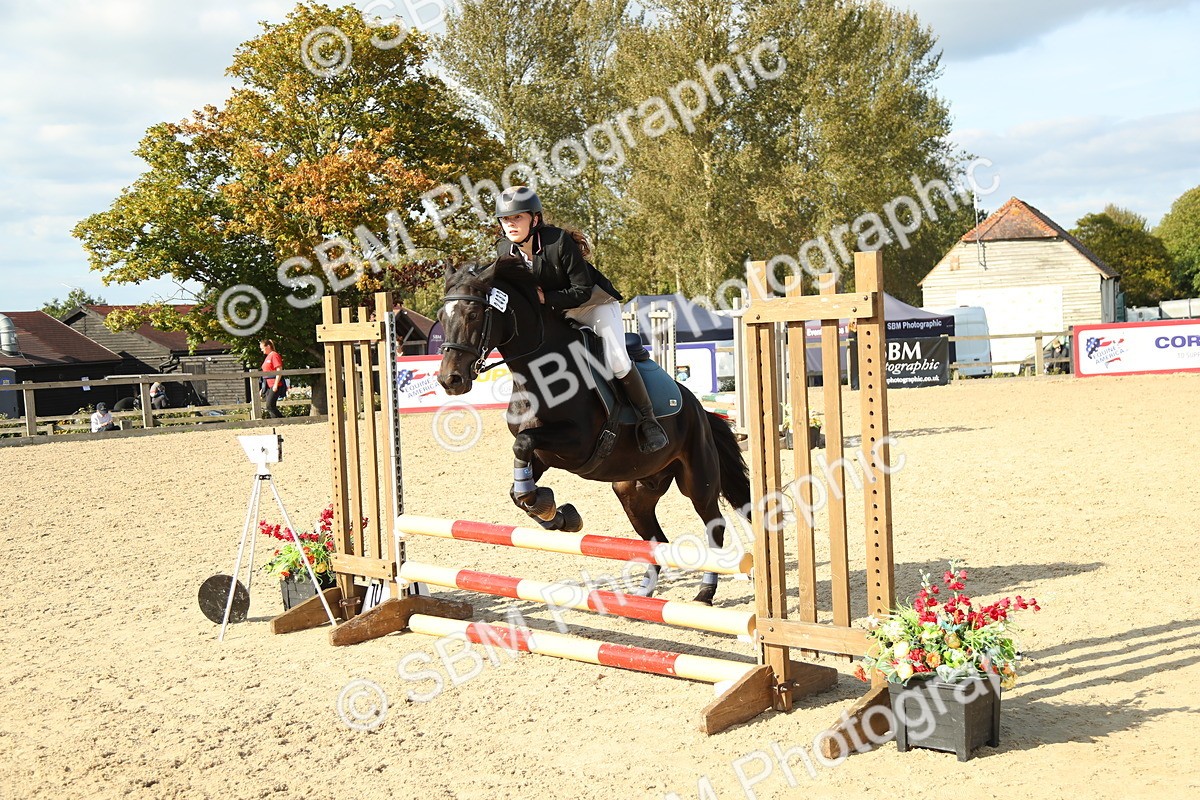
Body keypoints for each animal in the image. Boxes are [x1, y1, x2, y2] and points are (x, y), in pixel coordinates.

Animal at [436, 257, 751, 604]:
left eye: (473, 314)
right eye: (441, 317)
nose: (450, 380)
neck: (539, 373)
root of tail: (700, 410)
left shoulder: (577, 444)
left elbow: (523, 443)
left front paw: (550, 508)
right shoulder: (544, 455)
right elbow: (519, 486)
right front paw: (557, 514)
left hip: (698, 480)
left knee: (714, 527)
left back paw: (705, 592)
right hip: (633, 492)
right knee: (657, 539)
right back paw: (643, 593)